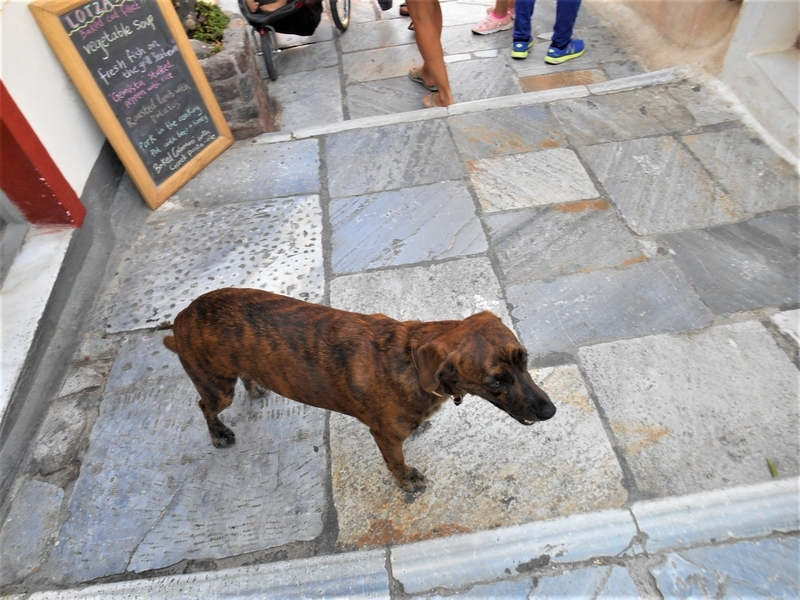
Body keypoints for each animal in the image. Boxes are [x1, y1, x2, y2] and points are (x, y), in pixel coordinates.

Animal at [162, 288, 556, 492]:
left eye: (525, 360)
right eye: (496, 381)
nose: (551, 411)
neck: (411, 360)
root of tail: (181, 317)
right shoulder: (385, 436)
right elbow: (396, 462)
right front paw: (408, 481)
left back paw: (255, 385)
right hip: (217, 388)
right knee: (204, 405)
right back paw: (218, 432)